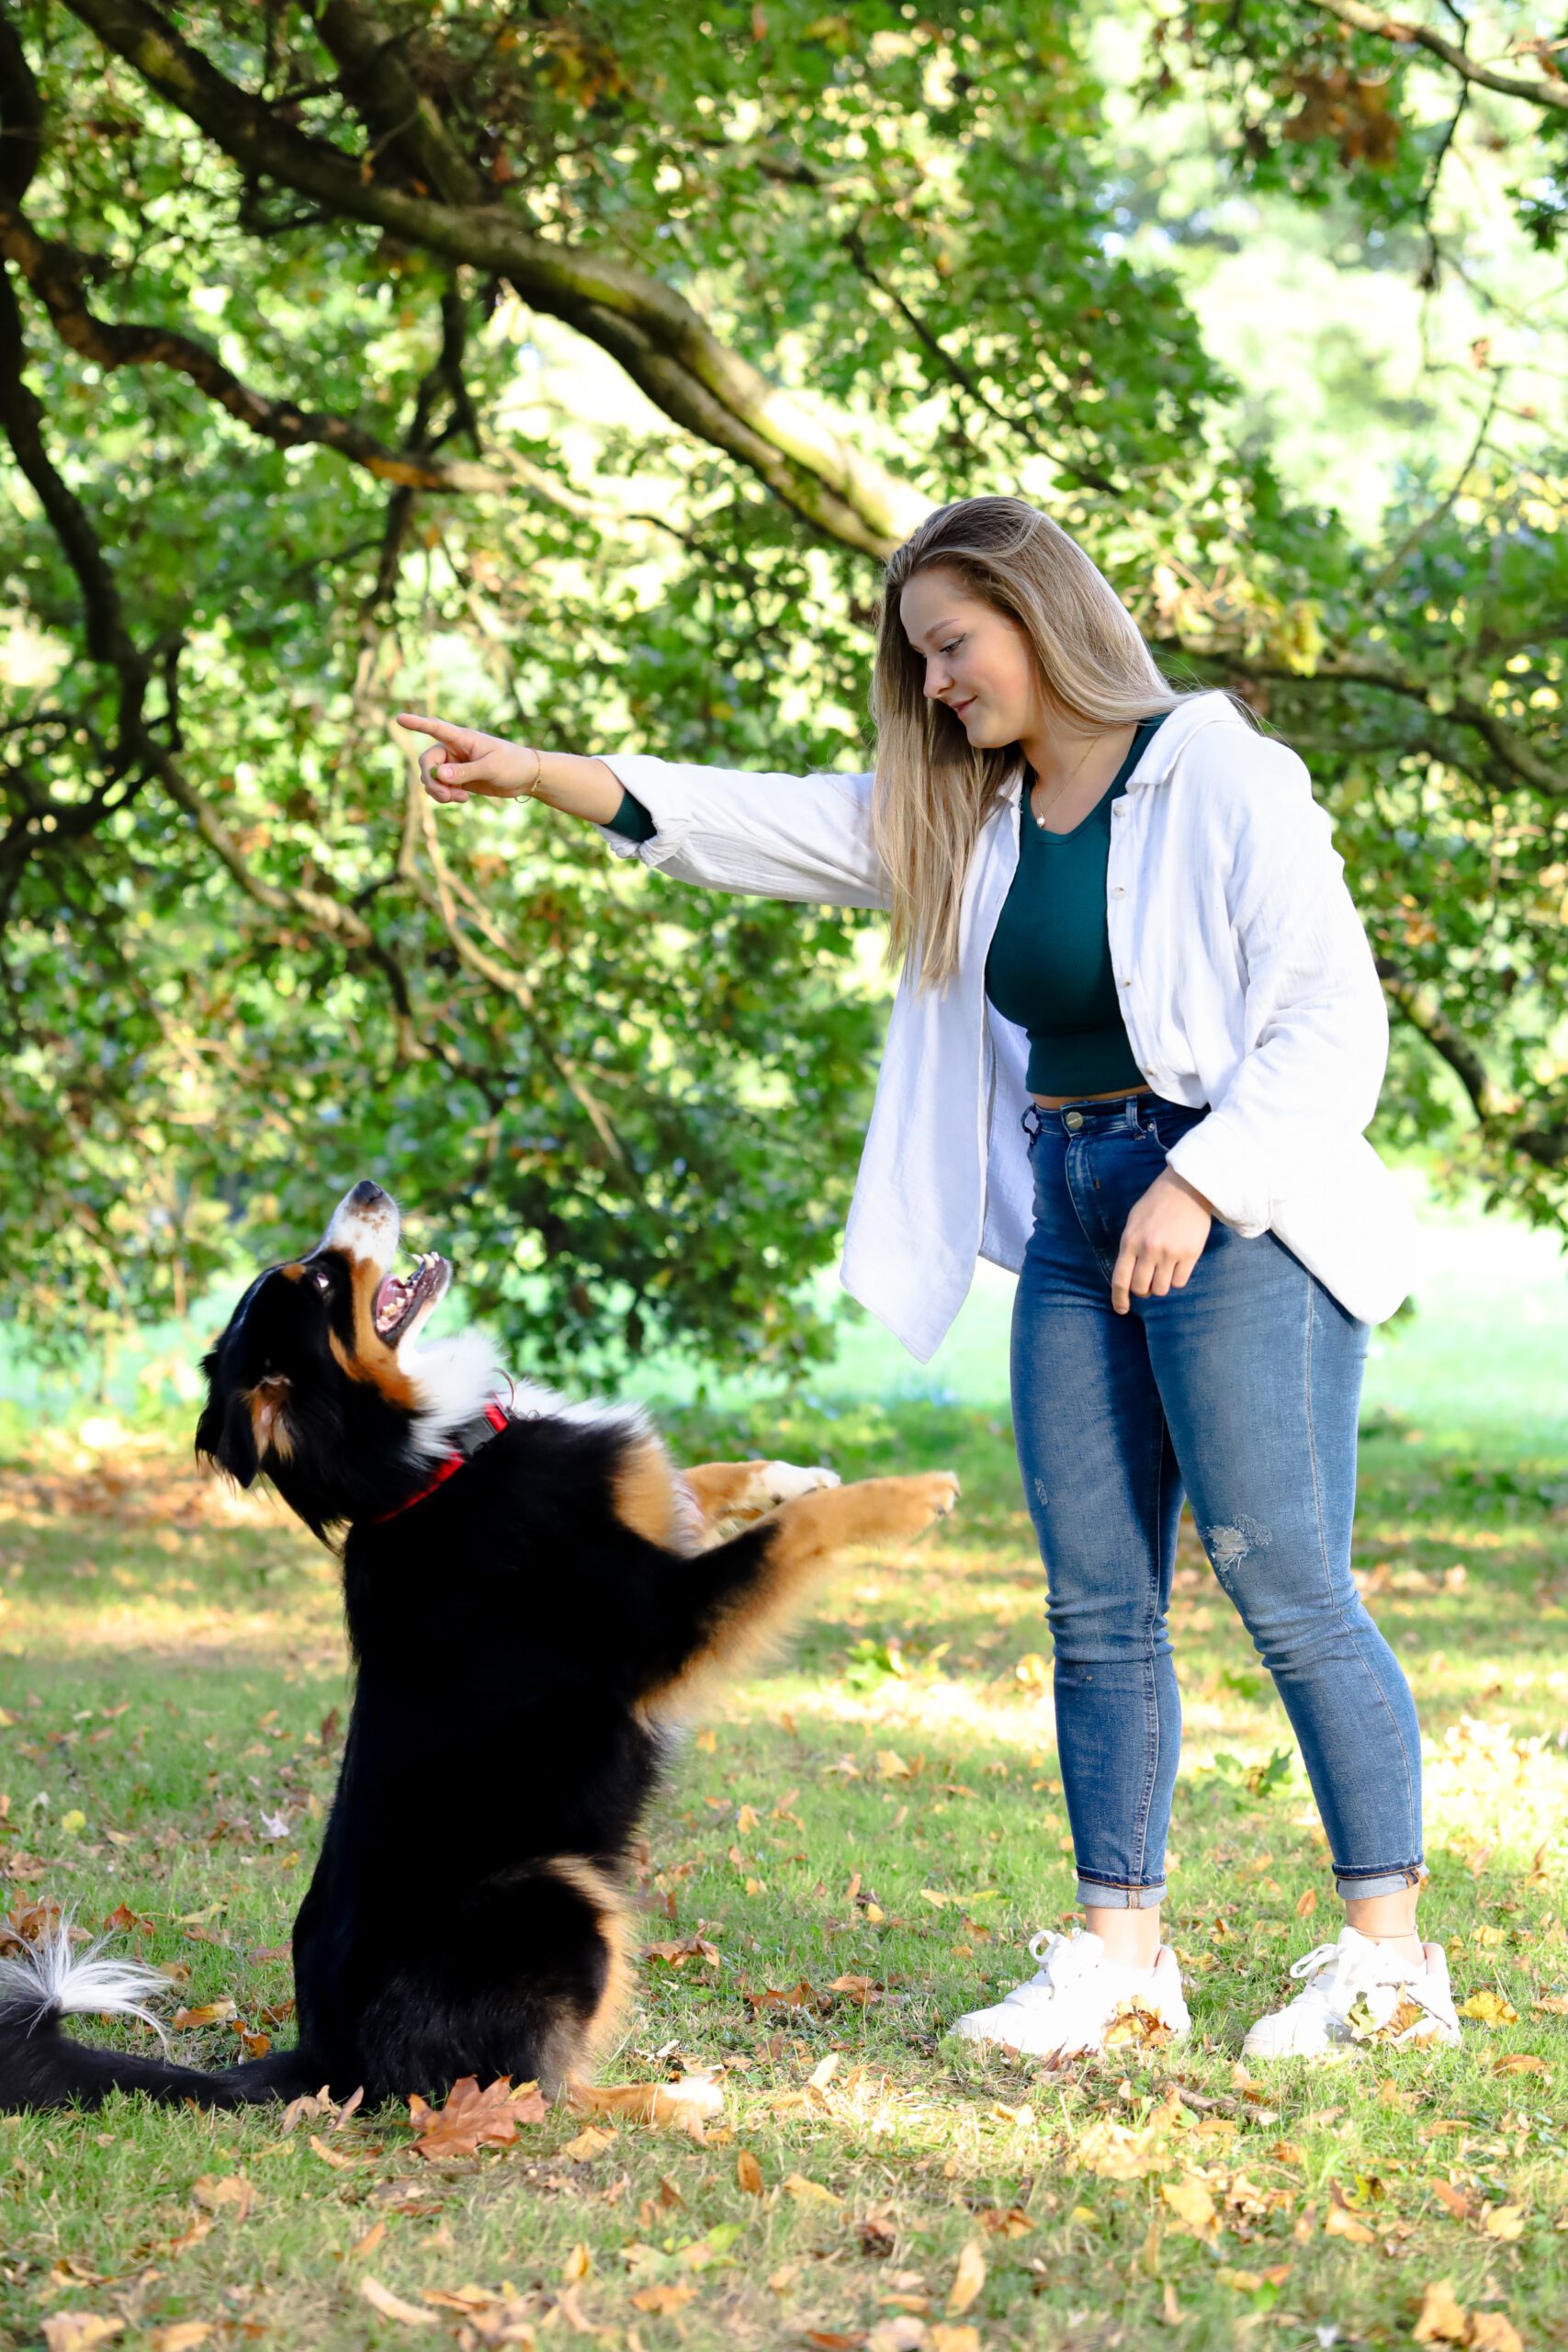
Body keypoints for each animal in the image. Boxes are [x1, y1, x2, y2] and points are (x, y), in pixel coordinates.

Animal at [0, 1176, 964, 2117]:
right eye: (321, 1282)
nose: (367, 1184)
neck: (424, 1467)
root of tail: (326, 2060)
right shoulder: (658, 1623)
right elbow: (790, 1536)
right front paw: (909, 1495)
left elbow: (700, 1482)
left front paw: (792, 1475)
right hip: (560, 1894)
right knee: (529, 2093)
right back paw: (685, 2096)